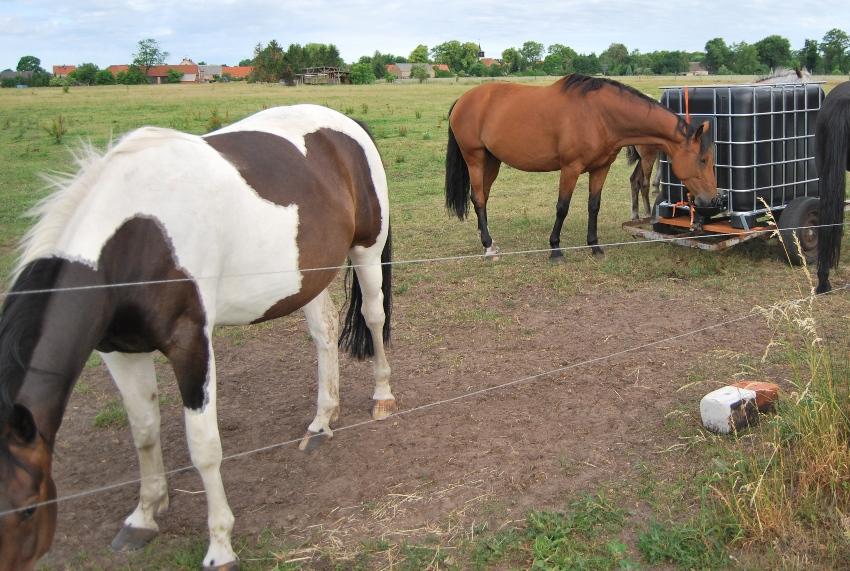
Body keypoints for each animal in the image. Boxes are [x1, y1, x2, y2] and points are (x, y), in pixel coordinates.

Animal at [0, 105, 390, 568]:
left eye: (27, 508)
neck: (135, 237)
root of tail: (344, 123)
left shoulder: (191, 345)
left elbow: (203, 446)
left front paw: (220, 546)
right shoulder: (119, 352)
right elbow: (144, 431)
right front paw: (144, 516)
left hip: (366, 251)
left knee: (374, 317)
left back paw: (382, 397)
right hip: (308, 276)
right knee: (324, 332)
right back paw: (321, 421)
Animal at [444, 72, 716, 260]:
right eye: (702, 160)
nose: (713, 199)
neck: (599, 115)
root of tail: (463, 100)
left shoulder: (601, 168)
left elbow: (593, 206)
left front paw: (595, 246)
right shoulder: (570, 168)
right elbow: (562, 207)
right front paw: (555, 249)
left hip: (492, 161)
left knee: (482, 197)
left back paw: (488, 241)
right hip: (475, 158)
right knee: (478, 199)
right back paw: (488, 247)